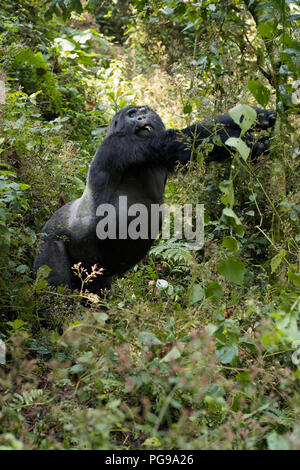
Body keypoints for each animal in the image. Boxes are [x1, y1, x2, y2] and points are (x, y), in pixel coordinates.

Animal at [34, 105, 276, 294]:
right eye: (132, 114)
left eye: (144, 111)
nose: (142, 118)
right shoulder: (124, 144)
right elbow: (184, 140)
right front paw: (253, 136)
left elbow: (197, 142)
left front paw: (258, 118)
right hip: (48, 242)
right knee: (53, 294)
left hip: (93, 272)